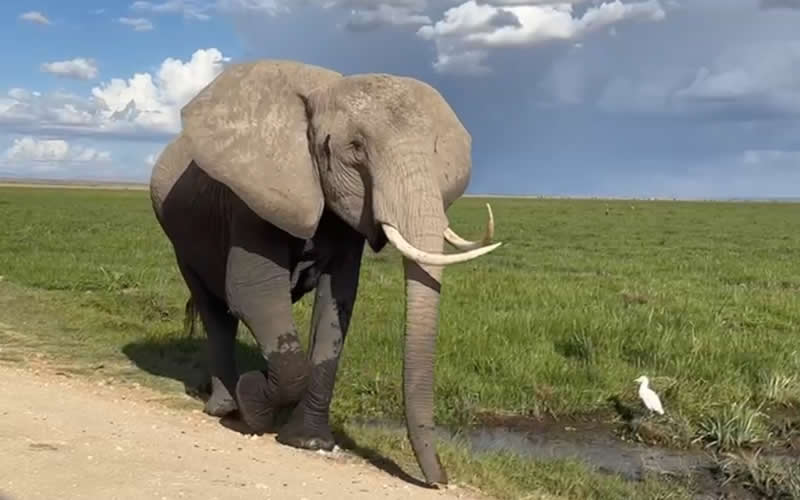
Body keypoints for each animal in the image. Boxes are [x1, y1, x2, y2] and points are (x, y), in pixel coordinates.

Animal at [149, 59, 502, 486]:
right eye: (356, 149)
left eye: (436, 151)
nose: (440, 480)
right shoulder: (253, 198)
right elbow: (253, 292)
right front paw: (254, 401)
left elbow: (338, 301)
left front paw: (308, 442)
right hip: (177, 234)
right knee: (216, 312)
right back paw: (225, 408)